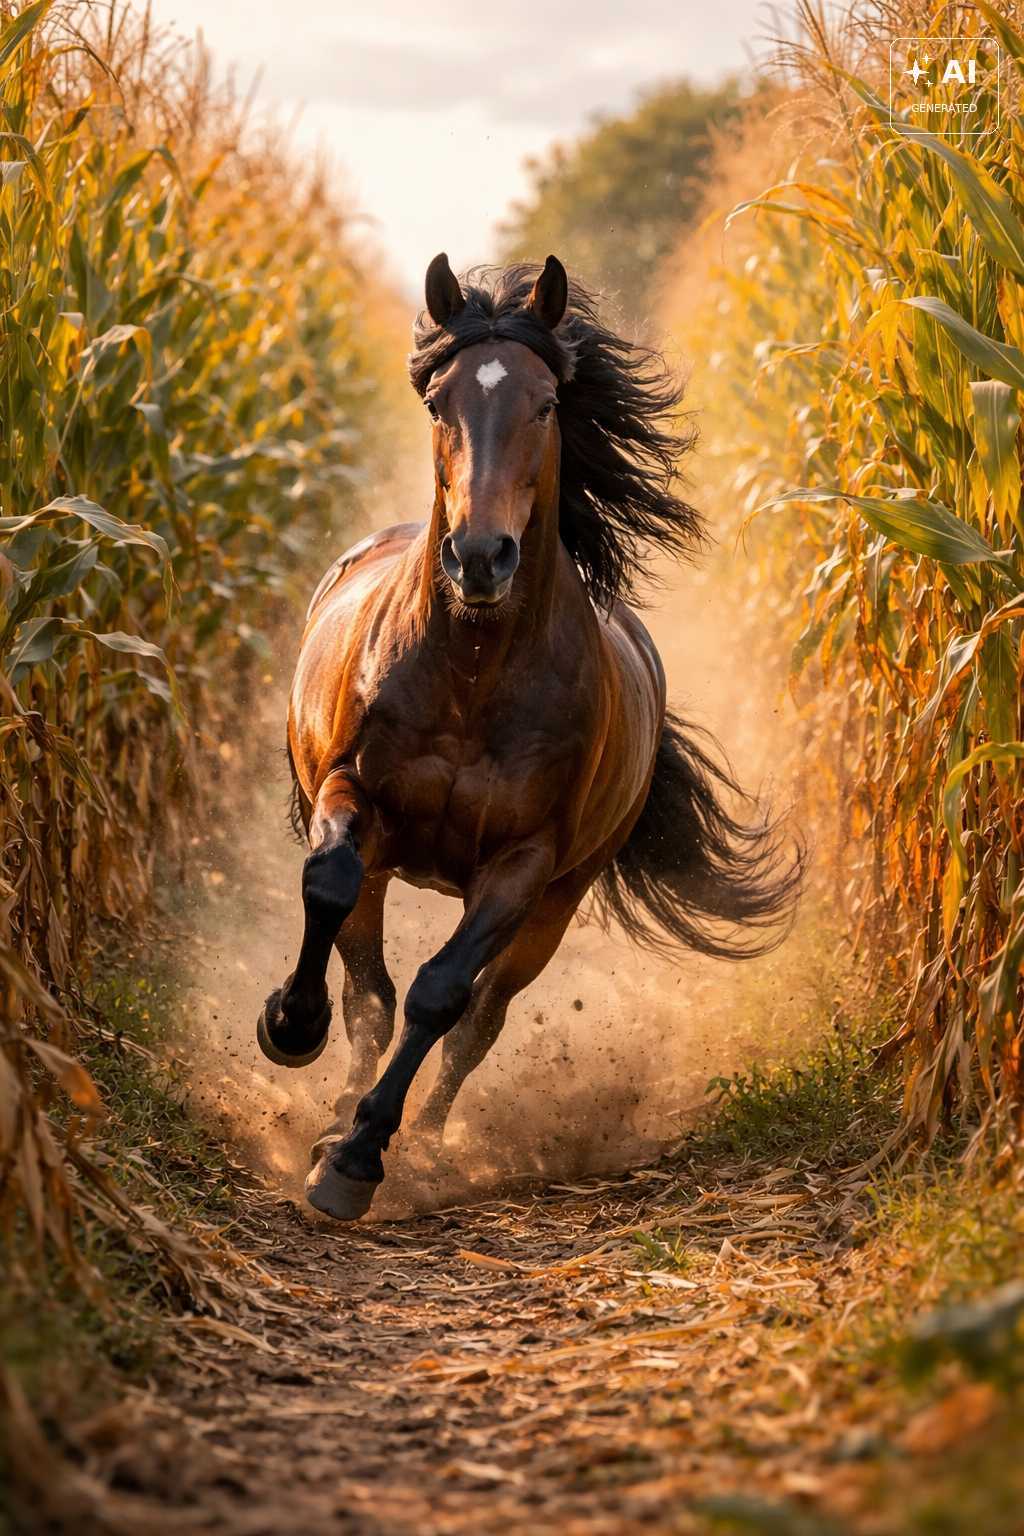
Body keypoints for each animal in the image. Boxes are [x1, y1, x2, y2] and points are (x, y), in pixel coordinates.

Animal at [256, 254, 800, 1221]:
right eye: (439, 403)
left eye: (547, 403)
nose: (480, 558)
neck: (473, 673)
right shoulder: (350, 793)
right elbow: (330, 890)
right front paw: (290, 1026)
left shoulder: (523, 864)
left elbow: (442, 995)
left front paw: (358, 1157)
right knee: (368, 992)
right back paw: (328, 1097)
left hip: (558, 901)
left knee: (477, 1020)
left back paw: (413, 1143)